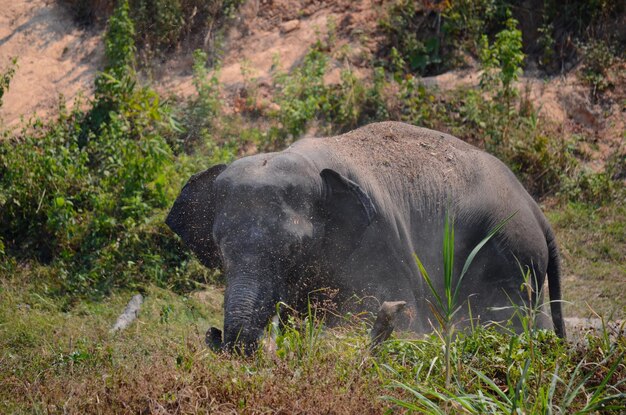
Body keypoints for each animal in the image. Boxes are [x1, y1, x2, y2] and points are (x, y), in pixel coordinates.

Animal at [166, 121, 564, 354]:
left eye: (294, 247)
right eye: (220, 249)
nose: (215, 335)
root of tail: (537, 210)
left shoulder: (379, 239)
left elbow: (398, 312)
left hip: (508, 251)